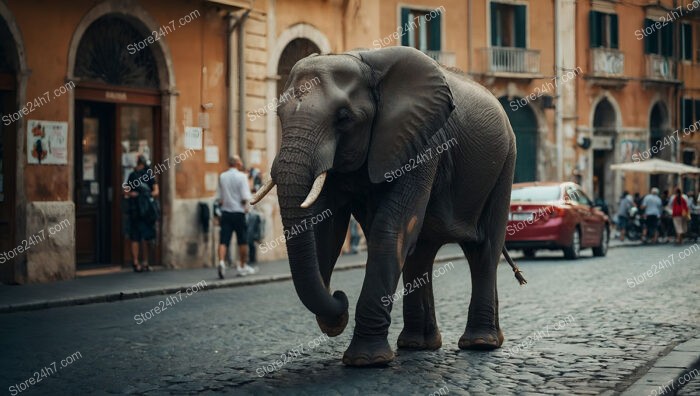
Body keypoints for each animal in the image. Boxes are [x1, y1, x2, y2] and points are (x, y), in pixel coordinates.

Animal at [252, 45, 524, 366]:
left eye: (344, 117)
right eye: (279, 114)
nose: (339, 299)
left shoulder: (423, 142)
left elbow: (390, 228)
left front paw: (365, 361)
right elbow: (326, 228)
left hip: (505, 162)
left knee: (483, 249)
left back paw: (480, 343)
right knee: (422, 253)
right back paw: (419, 345)